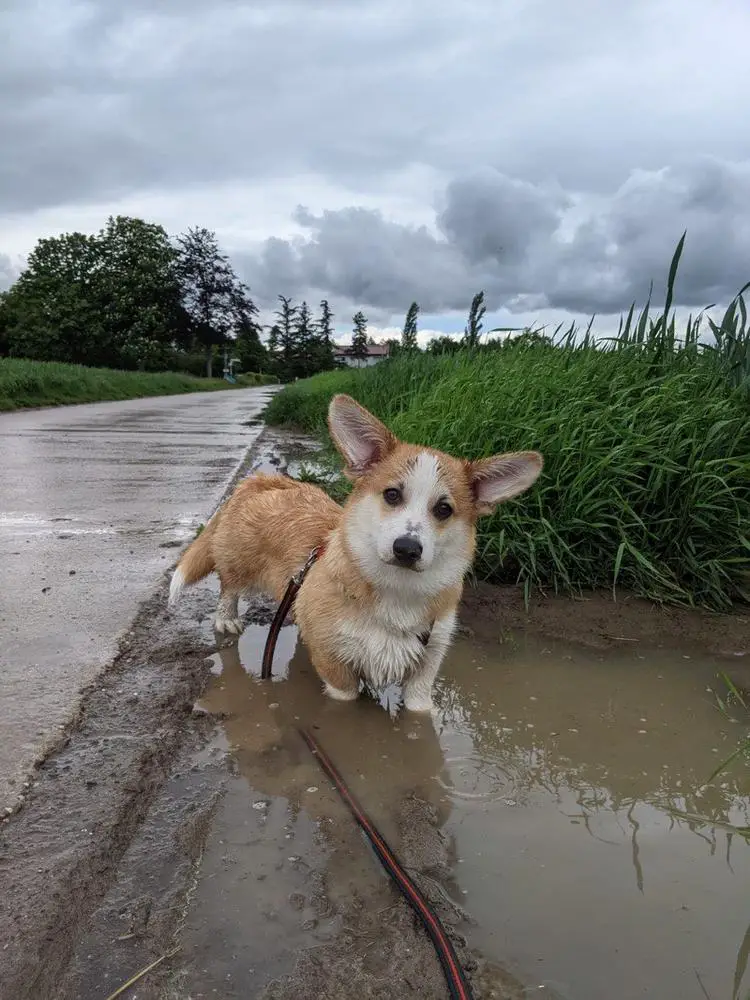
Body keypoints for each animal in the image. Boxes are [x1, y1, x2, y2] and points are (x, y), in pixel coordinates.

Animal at [170, 390, 544, 712]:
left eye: (444, 510)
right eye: (392, 495)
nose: (407, 549)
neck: (397, 591)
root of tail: (265, 480)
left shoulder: (426, 669)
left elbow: (419, 707)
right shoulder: (335, 663)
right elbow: (345, 695)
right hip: (238, 563)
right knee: (229, 587)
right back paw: (226, 618)